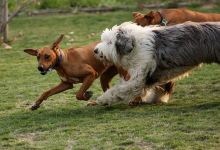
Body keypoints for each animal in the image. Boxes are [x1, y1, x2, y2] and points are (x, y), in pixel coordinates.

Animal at [92, 21, 220, 105]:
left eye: (109, 42)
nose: (95, 50)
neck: (135, 45)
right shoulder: (155, 75)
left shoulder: (139, 76)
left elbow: (122, 89)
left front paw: (103, 99)